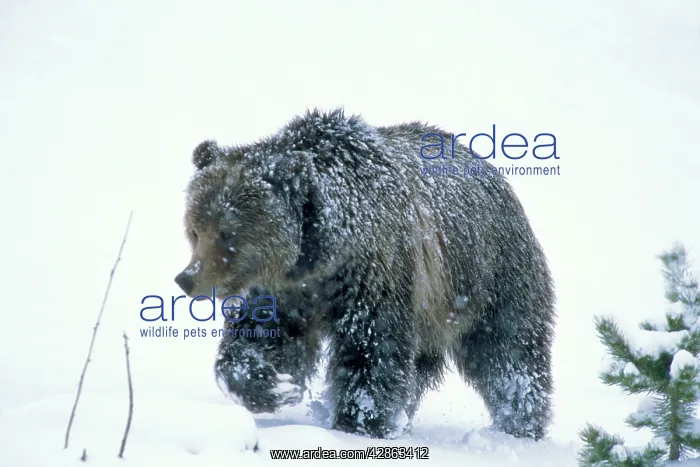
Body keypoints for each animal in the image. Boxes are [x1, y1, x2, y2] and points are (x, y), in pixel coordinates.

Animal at [174, 108, 556, 440]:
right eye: (195, 229)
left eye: (228, 232)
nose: (187, 278)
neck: (322, 253)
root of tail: (492, 172)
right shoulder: (284, 290)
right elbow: (264, 337)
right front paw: (271, 385)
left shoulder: (375, 272)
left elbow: (370, 349)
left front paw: (359, 421)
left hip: (489, 276)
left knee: (507, 353)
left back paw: (519, 424)